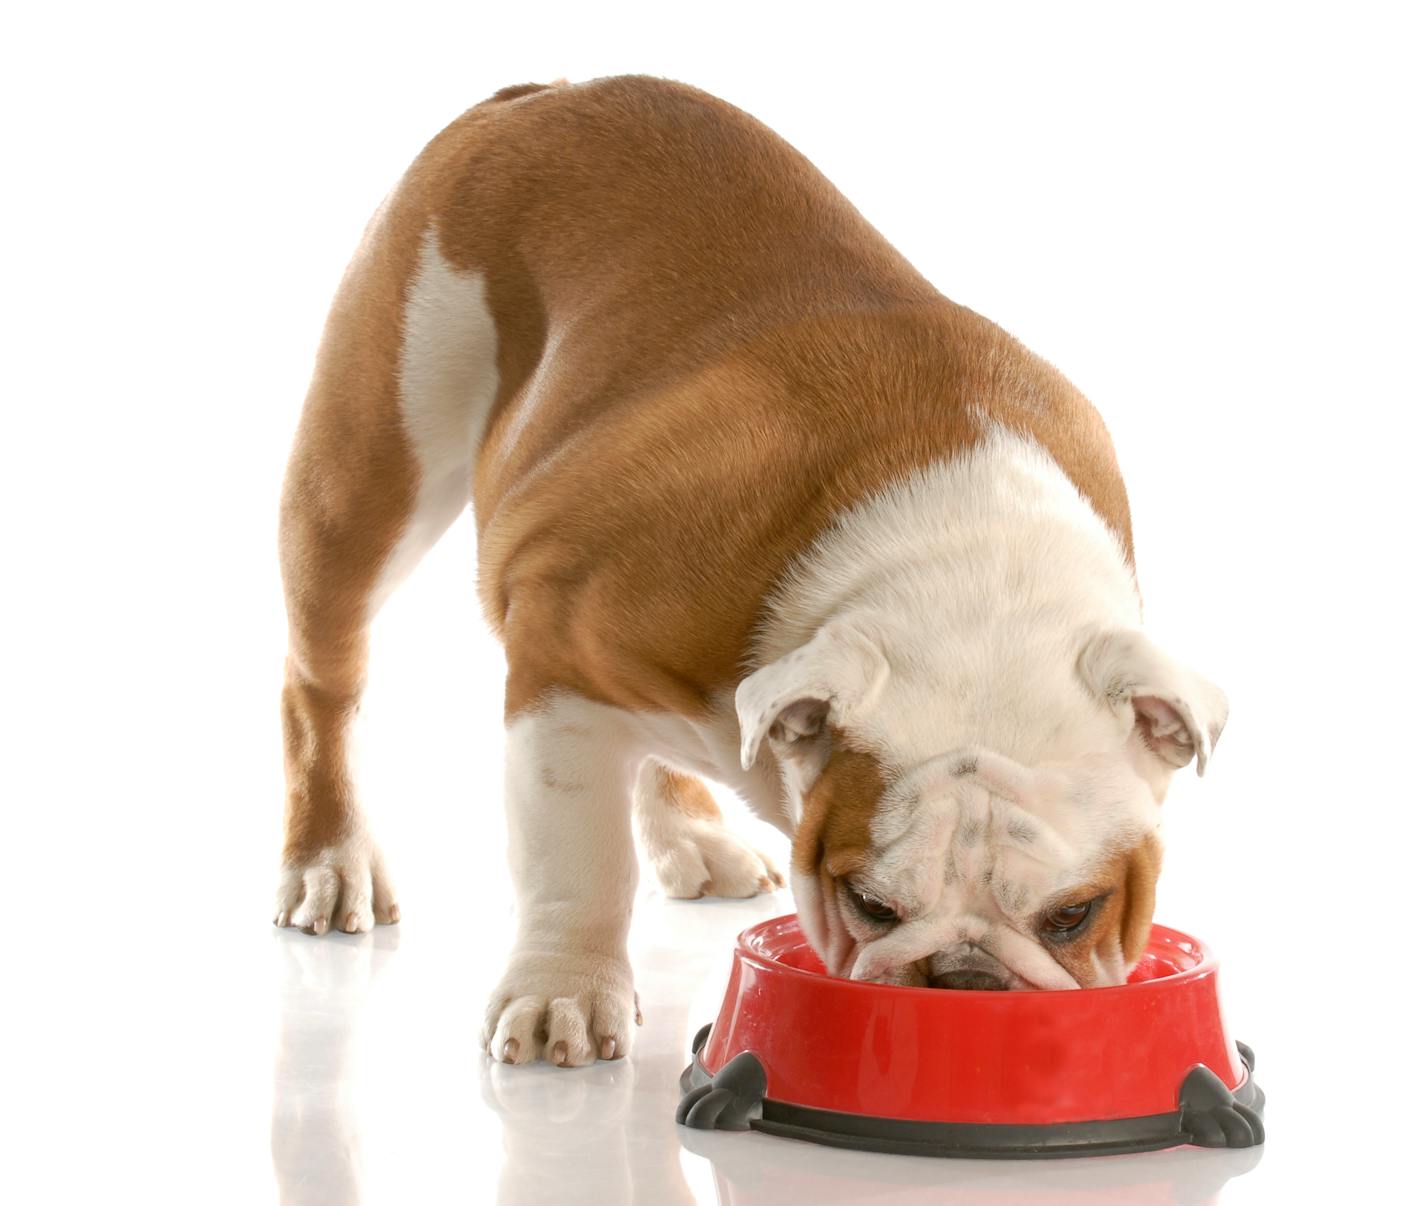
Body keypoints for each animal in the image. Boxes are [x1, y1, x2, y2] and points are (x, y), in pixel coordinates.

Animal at [274, 80, 1224, 1070]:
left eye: (1076, 914)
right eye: (870, 904)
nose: (964, 980)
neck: (974, 586)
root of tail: (544, 93)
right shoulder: (556, 669)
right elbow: (578, 857)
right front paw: (562, 992)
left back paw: (693, 834)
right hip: (374, 462)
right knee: (324, 680)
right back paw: (330, 862)